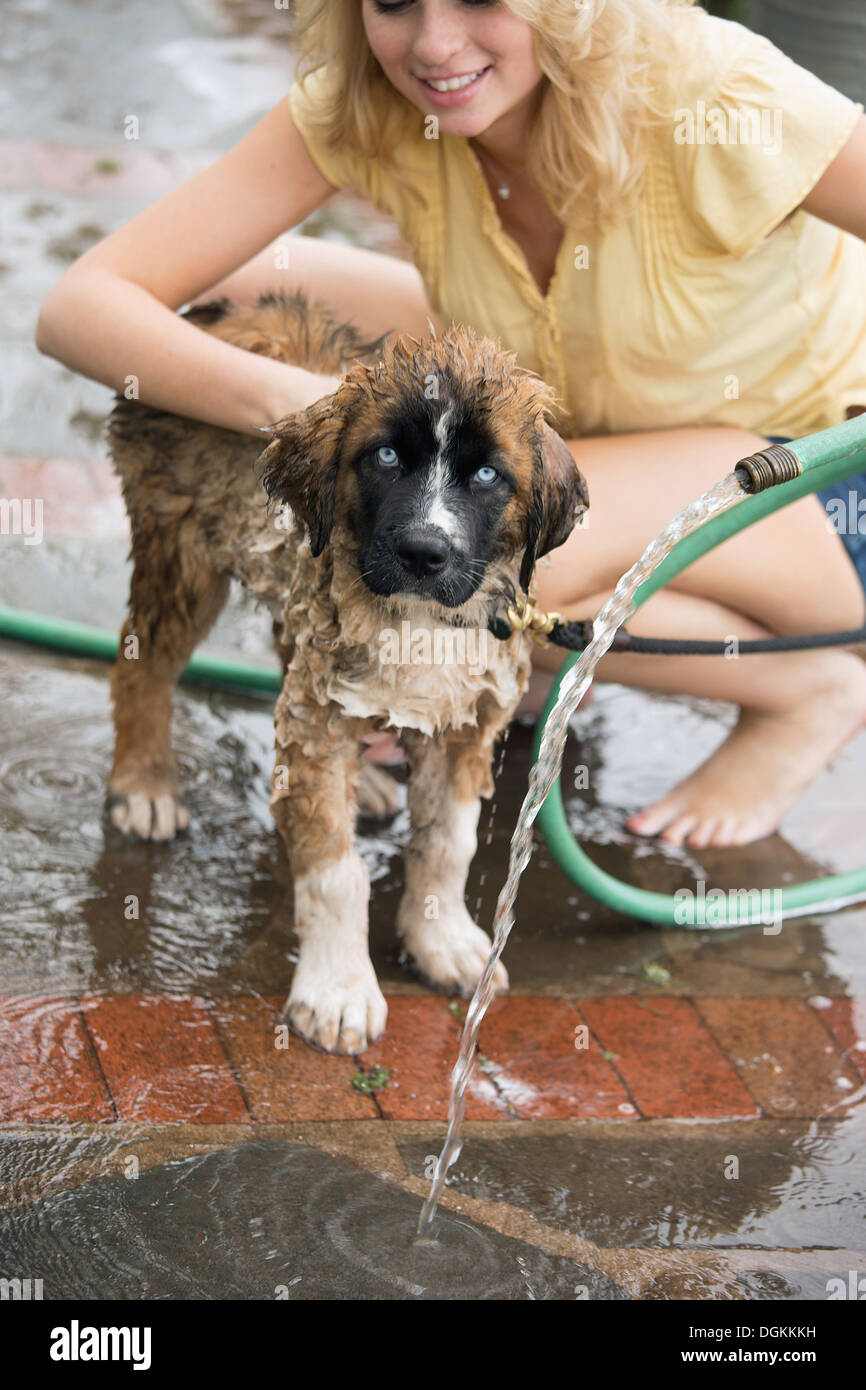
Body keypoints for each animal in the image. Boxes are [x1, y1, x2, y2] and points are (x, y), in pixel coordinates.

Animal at [104, 296, 586, 1050]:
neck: (417, 619)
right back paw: (145, 784)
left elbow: (447, 844)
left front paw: (441, 940)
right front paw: (338, 990)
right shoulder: (321, 719)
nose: (423, 552)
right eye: (385, 456)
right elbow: (336, 869)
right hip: (180, 548)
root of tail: (229, 307)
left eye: (487, 476)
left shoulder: (467, 722)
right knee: (144, 666)